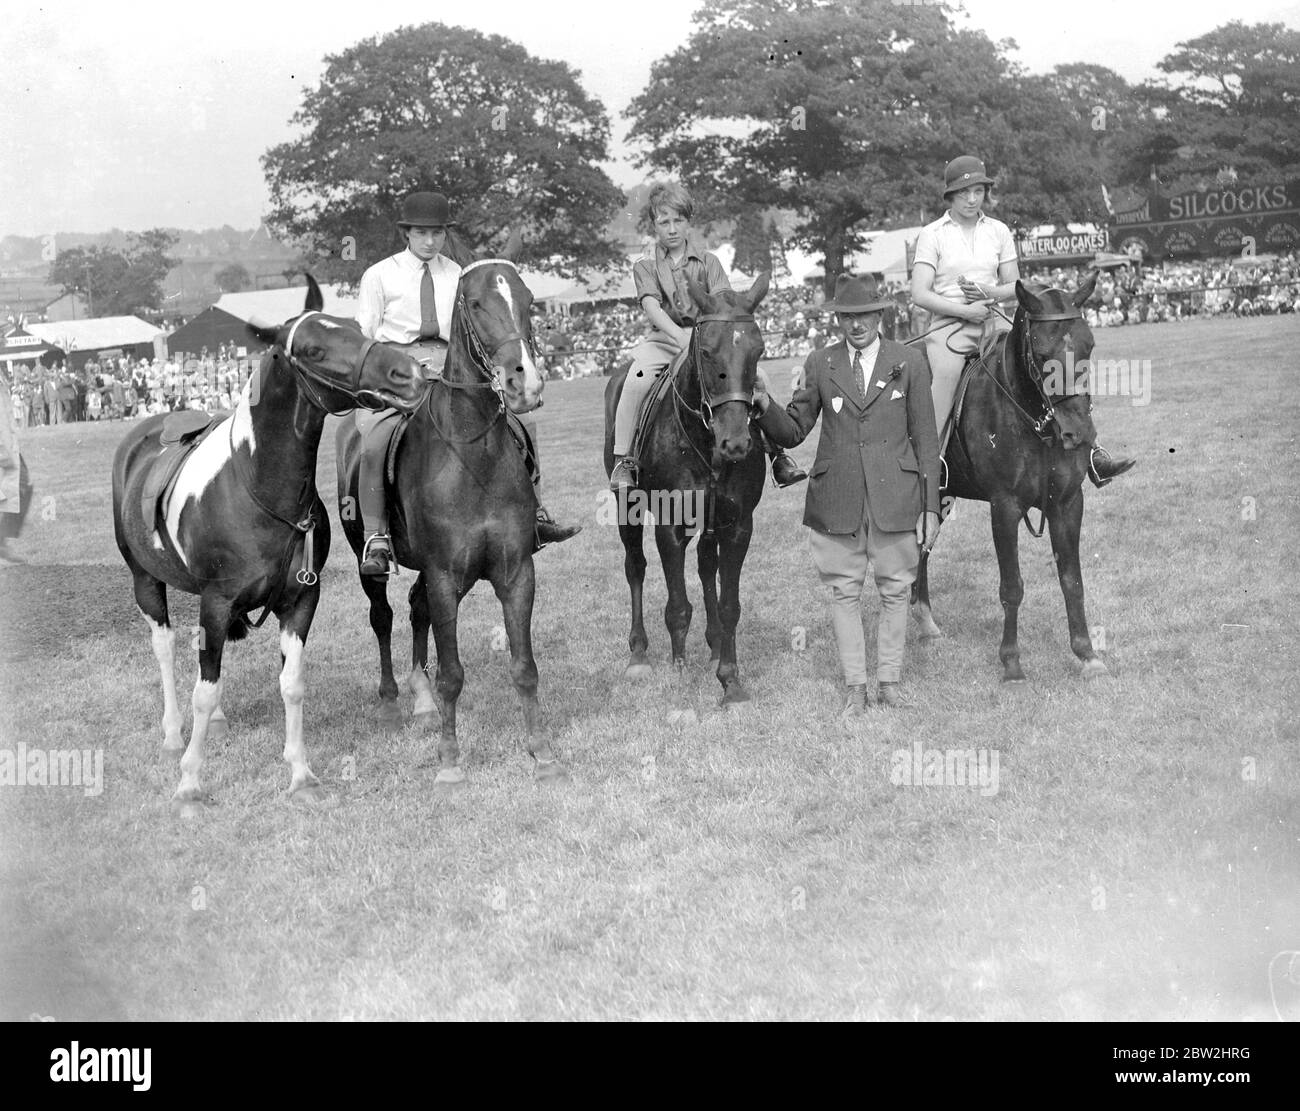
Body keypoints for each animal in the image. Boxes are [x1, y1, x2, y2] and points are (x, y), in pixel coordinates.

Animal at [112, 278, 423, 816]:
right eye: (314, 349)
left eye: (355, 326)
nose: (407, 373)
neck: (259, 489)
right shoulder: (216, 602)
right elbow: (203, 690)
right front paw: (190, 782)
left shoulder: (299, 600)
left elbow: (290, 685)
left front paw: (300, 773)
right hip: (145, 580)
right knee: (166, 649)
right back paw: (173, 735)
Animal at [332, 239, 566, 784]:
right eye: (476, 304)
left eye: (528, 299)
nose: (525, 383)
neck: (472, 456)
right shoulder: (443, 575)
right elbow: (453, 674)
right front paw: (450, 762)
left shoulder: (515, 573)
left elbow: (524, 667)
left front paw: (541, 753)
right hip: (372, 564)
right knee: (383, 616)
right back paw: (392, 703)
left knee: (414, 610)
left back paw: (420, 700)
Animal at [600, 271, 769, 701]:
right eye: (706, 352)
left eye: (758, 351)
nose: (736, 443)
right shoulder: (669, 526)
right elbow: (676, 604)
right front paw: (678, 669)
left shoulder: (738, 525)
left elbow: (729, 604)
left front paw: (730, 679)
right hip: (627, 509)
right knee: (635, 566)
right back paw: (639, 654)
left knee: (707, 565)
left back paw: (713, 647)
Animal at [909, 274, 1112, 680]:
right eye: (1041, 351)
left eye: (1089, 345)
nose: (1079, 432)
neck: (1035, 421)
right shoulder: (1004, 507)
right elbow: (1012, 587)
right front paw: (1012, 662)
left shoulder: (1067, 503)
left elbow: (1072, 580)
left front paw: (1086, 653)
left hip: (940, 496)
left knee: (924, 543)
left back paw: (925, 621)